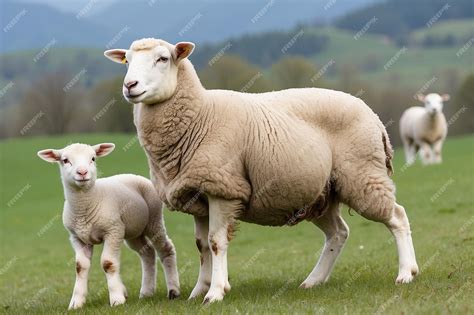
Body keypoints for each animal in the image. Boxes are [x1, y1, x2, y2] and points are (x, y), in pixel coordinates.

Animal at [36, 144, 180, 312]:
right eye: (65, 160)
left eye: (93, 158)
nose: (82, 172)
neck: (86, 205)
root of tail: (134, 175)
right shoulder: (77, 237)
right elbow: (80, 266)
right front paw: (76, 303)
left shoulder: (113, 231)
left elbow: (108, 263)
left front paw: (117, 299)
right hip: (133, 232)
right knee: (148, 253)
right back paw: (146, 292)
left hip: (154, 221)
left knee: (165, 248)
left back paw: (173, 291)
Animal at [103, 38, 418, 304]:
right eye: (127, 60)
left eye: (163, 58)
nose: (130, 85)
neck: (201, 114)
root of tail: (373, 116)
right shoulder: (197, 195)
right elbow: (201, 246)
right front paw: (198, 291)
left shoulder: (223, 188)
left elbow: (216, 243)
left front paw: (216, 292)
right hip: (320, 192)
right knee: (339, 233)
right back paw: (313, 281)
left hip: (362, 175)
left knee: (397, 216)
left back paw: (406, 273)